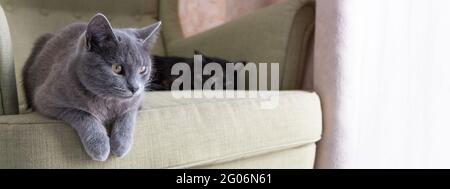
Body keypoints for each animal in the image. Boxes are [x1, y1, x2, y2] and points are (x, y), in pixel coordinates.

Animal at [22, 13, 162, 161]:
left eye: (142, 69)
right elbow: (83, 113)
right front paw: (99, 146)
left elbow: (128, 114)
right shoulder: (46, 101)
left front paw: (121, 144)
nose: (135, 88)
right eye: (117, 68)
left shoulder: (138, 101)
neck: (108, 102)